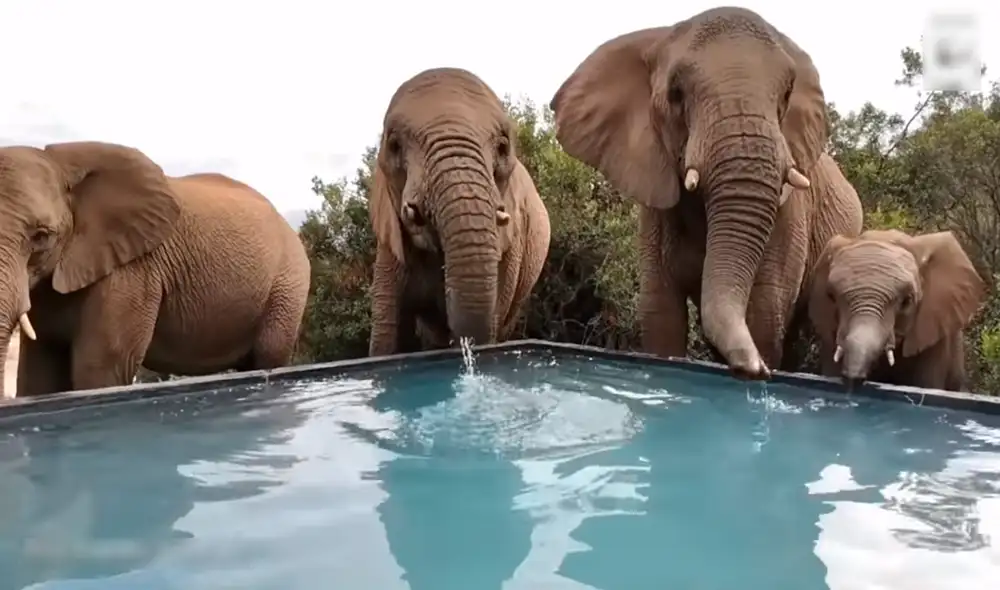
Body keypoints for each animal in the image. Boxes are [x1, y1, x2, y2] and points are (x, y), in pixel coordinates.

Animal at [0, 141, 311, 397]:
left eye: (41, 236)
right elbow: (38, 376)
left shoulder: (133, 271)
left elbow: (100, 369)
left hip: (289, 283)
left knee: (269, 356)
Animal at [549, 6, 863, 379]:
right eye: (676, 93)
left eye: (787, 94)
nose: (757, 370)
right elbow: (661, 314)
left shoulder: (789, 216)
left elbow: (765, 315)